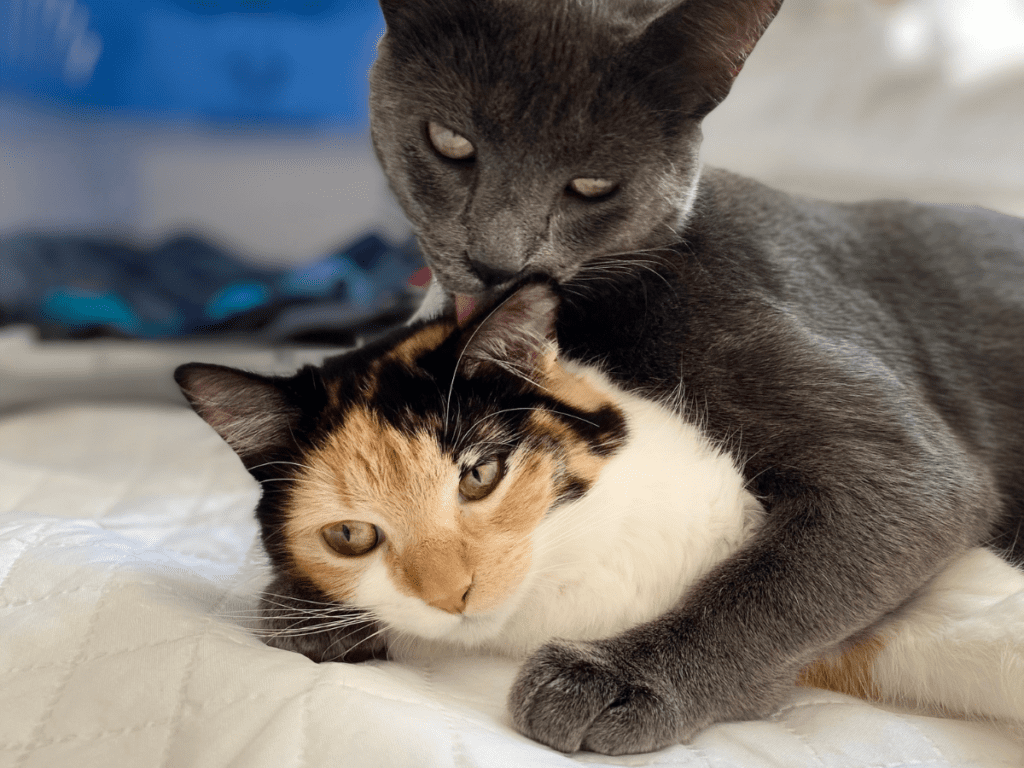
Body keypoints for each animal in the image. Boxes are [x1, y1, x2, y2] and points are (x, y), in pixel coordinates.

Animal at [362, 0, 1024, 757]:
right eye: (450, 141)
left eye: (592, 185)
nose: (497, 262)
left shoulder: (906, 467)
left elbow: (774, 583)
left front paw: (620, 677)